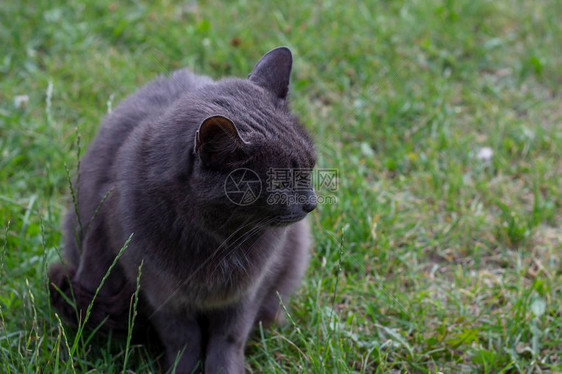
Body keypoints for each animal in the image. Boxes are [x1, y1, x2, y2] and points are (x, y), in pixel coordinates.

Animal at [48, 47, 316, 374]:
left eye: (310, 167)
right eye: (280, 183)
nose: (312, 203)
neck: (220, 240)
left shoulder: (248, 292)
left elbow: (229, 338)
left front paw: (224, 370)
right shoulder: (158, 290)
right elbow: (182, 339)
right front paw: (182, 369)